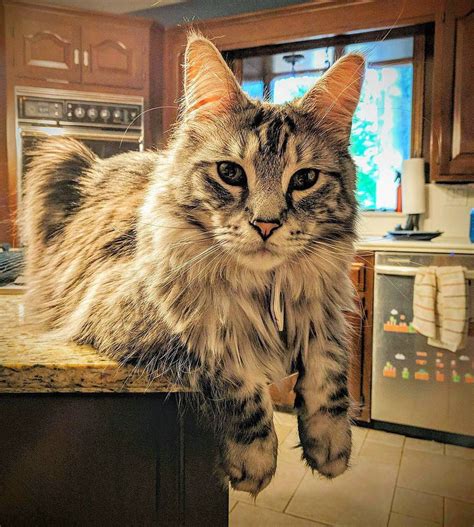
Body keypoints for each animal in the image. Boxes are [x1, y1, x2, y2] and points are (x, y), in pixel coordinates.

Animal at [22, 35, 364, 498]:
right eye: (230, 173)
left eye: (304, 179)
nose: (267, 224)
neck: (264, 287)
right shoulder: (170, 322)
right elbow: (234, 371)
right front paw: (254, 460)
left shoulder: (325, 311)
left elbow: (330, 367)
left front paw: (331, 446)